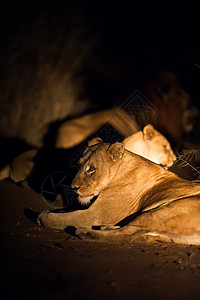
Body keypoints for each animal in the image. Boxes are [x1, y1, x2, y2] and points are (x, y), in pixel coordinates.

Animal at [37, 138, 200, 246]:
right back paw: (106, 228)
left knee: (127, 235)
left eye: (92, 169)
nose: (74, 187)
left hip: (162, 211)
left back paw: (86, 233)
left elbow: (65, 218)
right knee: (139, 233)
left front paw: (44, 216)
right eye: (80, 164)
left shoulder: (96, 215)